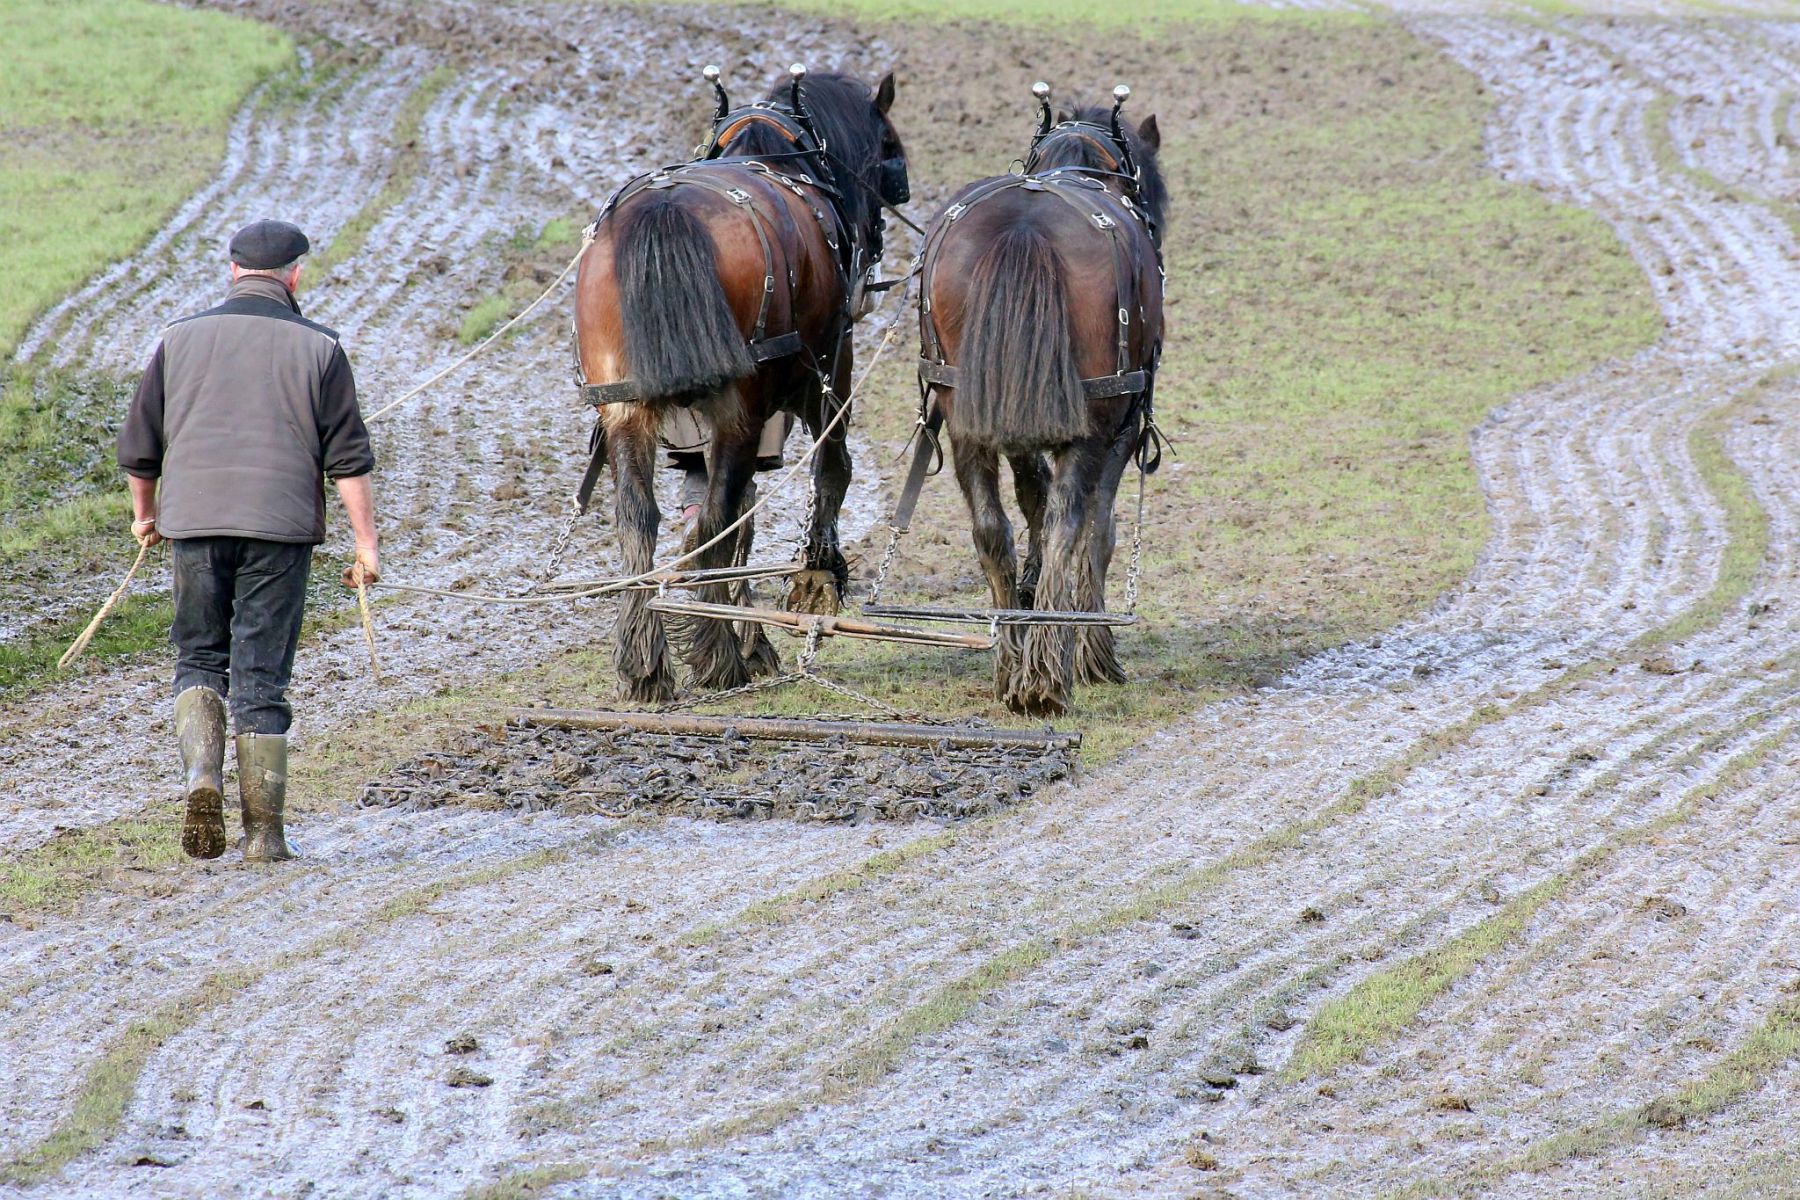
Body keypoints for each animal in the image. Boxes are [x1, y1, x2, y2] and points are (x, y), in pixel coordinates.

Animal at [573, 68, 907, 702]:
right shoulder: (829, 371)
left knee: (640, 517)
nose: (874, 245)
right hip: (740, 408)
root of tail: (665, 209)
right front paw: (815, 577)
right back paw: (719, 656)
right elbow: (831, 470)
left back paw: (644, 662)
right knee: (717, 516)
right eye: (888, 151)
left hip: (626, 406)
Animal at [915, 88, 1166, 716]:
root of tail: (1024, 230)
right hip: (1094, 424)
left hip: (966, 418)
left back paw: (1012, 663)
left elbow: (1030, 499)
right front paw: (1094, 653)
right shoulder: (1120, 426)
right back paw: (1047, 677)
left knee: (991, 527)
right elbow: (1096, 530)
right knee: (1069, 522)